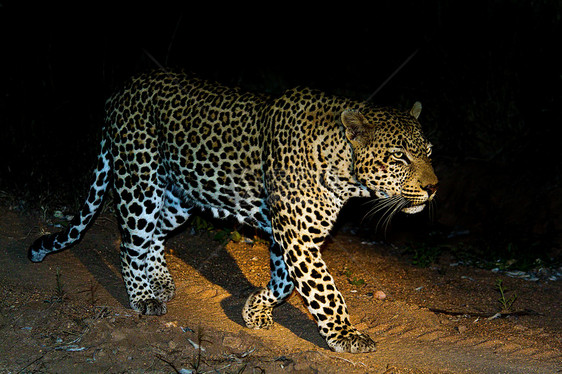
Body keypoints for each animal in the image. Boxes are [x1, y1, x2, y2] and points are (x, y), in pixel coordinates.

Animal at [28, 70, 436, 354]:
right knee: (130, 243)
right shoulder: (297, 236)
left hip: (180, 194)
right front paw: (345, 335)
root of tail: (121, 90)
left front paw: (254, 311)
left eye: (429, 152)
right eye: (400, 156)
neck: (343, 171)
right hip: (139, 182)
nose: (433, 188)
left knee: (155, 234)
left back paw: (160, 281)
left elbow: (286, 283)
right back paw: (143, 297)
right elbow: (325, 289)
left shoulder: (289, 235)